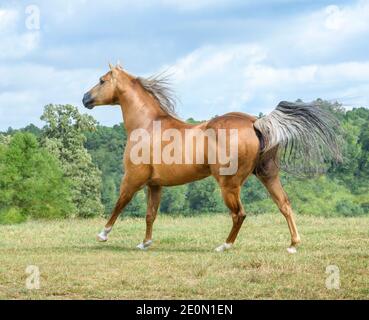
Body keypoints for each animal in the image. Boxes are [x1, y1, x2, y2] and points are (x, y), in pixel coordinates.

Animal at [83, 63, 340, 252]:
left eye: (102, 80)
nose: (85, 98)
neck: (148, 125)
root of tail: (255, 122)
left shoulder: (133, 178)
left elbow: (120, 203)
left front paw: (102, 234)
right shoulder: (155, 184)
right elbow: (150, 215)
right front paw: (145, 243)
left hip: (229, 184)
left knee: (240, 214)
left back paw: (224, 246)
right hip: (267, 175)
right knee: (284, 204)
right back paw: (293, 244)